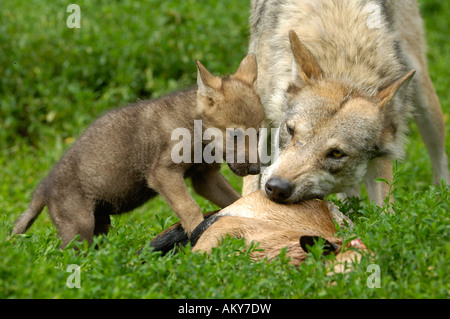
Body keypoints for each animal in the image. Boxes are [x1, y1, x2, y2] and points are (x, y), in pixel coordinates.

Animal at [12, 55, 266, 248]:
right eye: (235, 135)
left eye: (258, 133)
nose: (256, 169)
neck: (195, 129)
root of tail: (43, 187)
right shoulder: (163, 174)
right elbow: (191, 209)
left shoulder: (205, 178)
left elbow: (236, 201)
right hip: (79, 226)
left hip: (100, 223)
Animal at [244, 0, 448, 206]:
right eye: (290, 130)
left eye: (336, 153)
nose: (277, 188)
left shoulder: (380, 160)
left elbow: (383, 210)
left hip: (423, 93)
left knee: (440, 158)